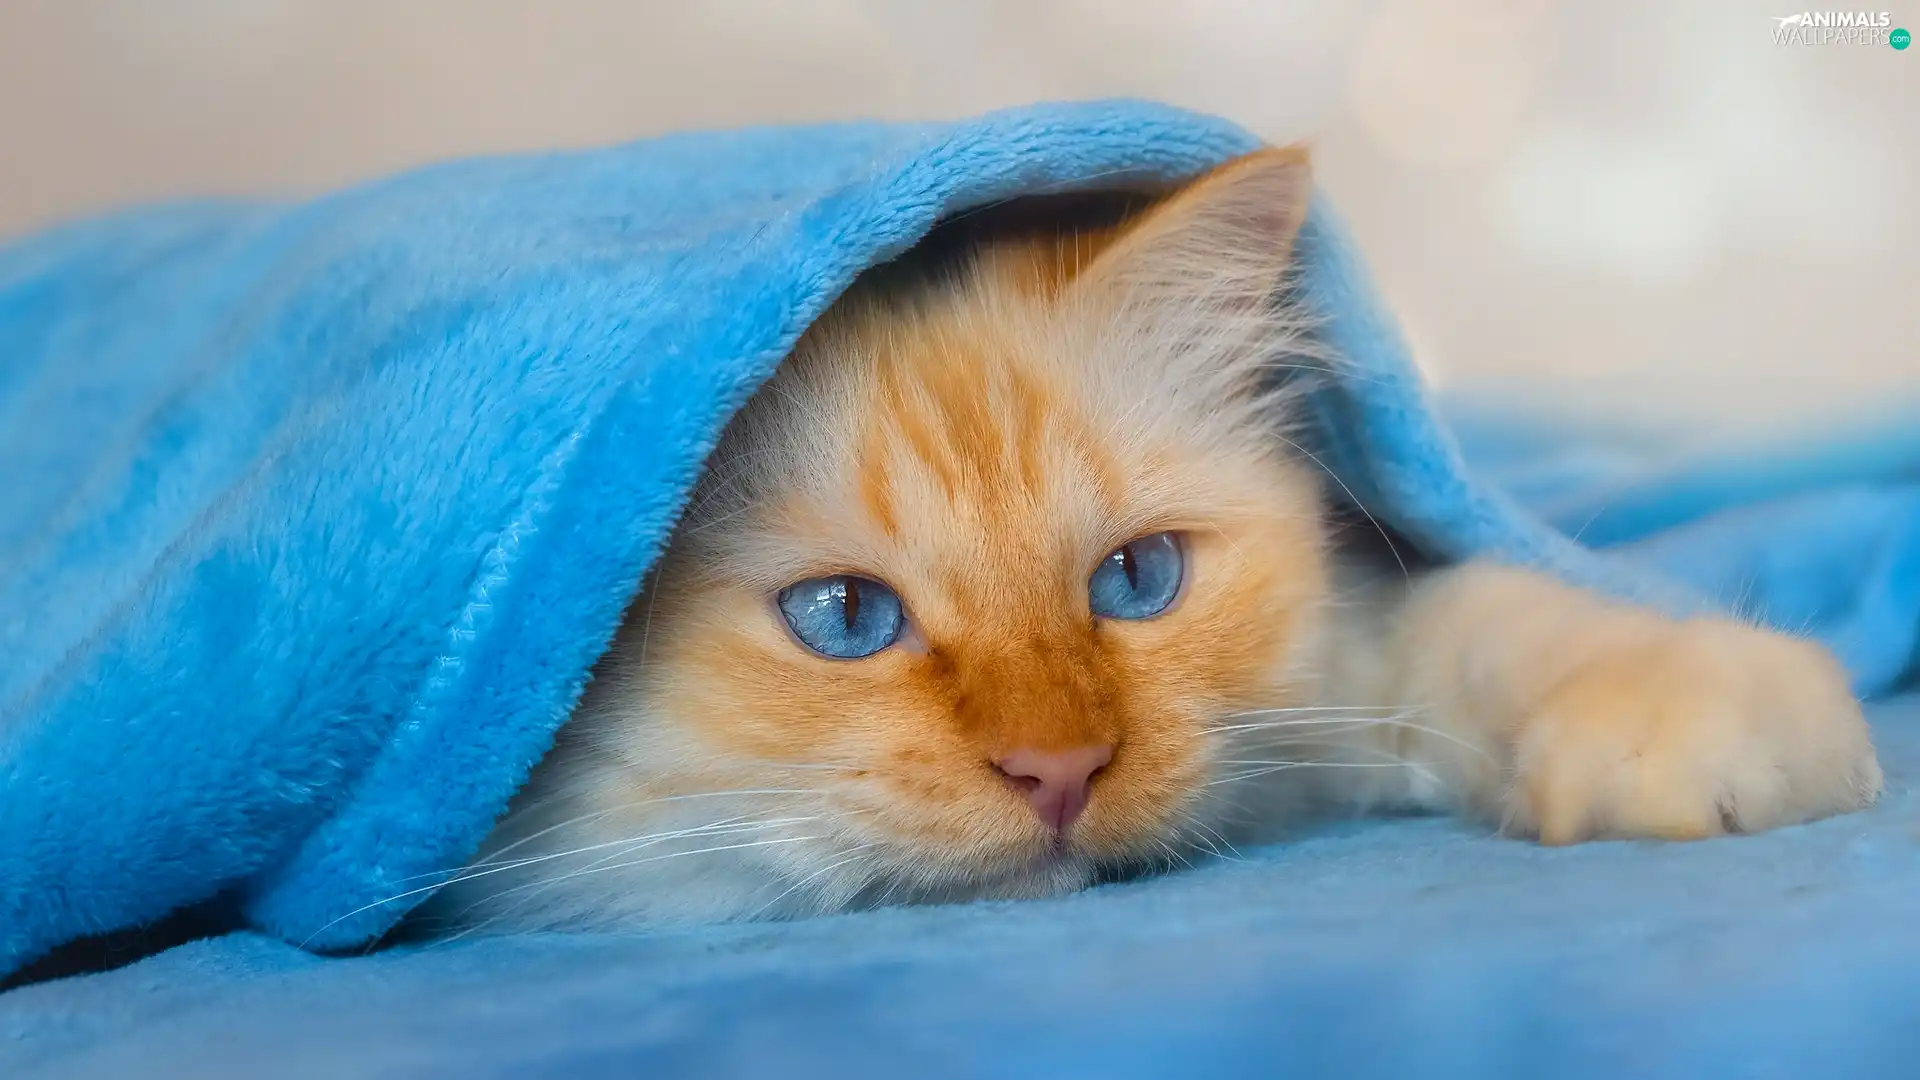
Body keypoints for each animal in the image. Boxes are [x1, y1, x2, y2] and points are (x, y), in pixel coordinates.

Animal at [416, 147, 1873, 930]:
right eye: (844, 620)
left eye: (1135, 581)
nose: (1060, 774)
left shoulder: (1341, 659)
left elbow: (1493, 620)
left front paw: (1713, 737)